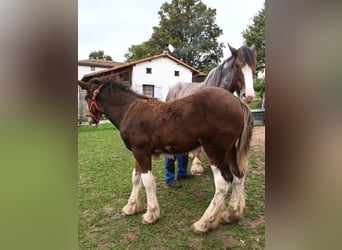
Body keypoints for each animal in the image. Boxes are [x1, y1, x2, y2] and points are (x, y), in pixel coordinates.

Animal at [78, 77, 254, 233]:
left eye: (87, 97)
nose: (91, 121)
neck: (129, 110)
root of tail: (237, 101)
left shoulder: (141, 152)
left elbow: (147, 181)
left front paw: (150, 214)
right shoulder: (137, 152)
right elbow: (135, 178)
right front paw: (130, 207)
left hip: (215, 151)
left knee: (223, 182)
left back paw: (204, 223)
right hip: (230, 151)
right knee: (238, 176)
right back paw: (232, 214)